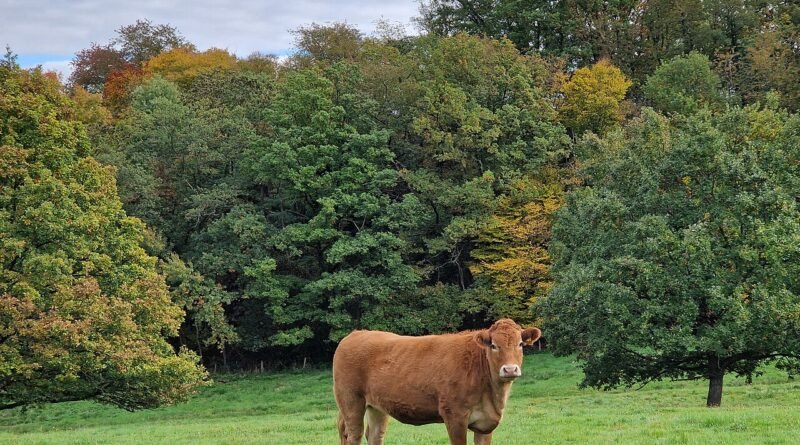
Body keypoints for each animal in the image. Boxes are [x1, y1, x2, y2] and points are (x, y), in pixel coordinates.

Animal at [333, 319, 541, 445]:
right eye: (493, 345)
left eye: (520, 344)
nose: (510, 369)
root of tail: (356, 334)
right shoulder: (454, 415)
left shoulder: (485, 423)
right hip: (351, 401)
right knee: (353, 436)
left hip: (377, 407)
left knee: (375, 436)